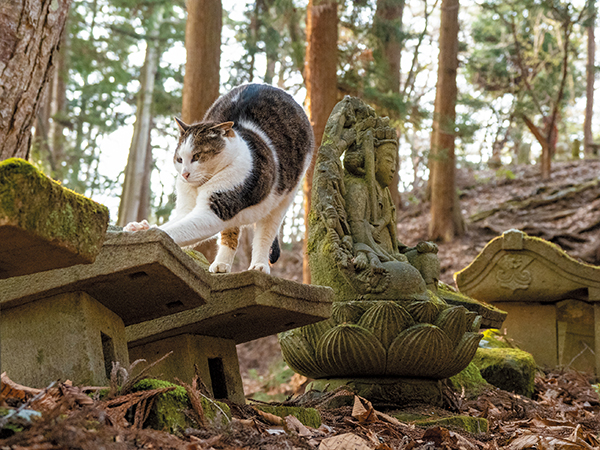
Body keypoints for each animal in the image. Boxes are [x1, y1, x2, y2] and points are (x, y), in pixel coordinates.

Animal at [125, 84, 316, 274]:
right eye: (179, 159)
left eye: (197, 156)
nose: (184, 174)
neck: (201, 185)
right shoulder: (187, 208)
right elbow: (172, 223)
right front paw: (139, 227)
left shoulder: (216, 207)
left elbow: (174, 229)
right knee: (230, 233)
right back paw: (221, 264)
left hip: (283, 199)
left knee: (266, 232)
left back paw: (259, 266)